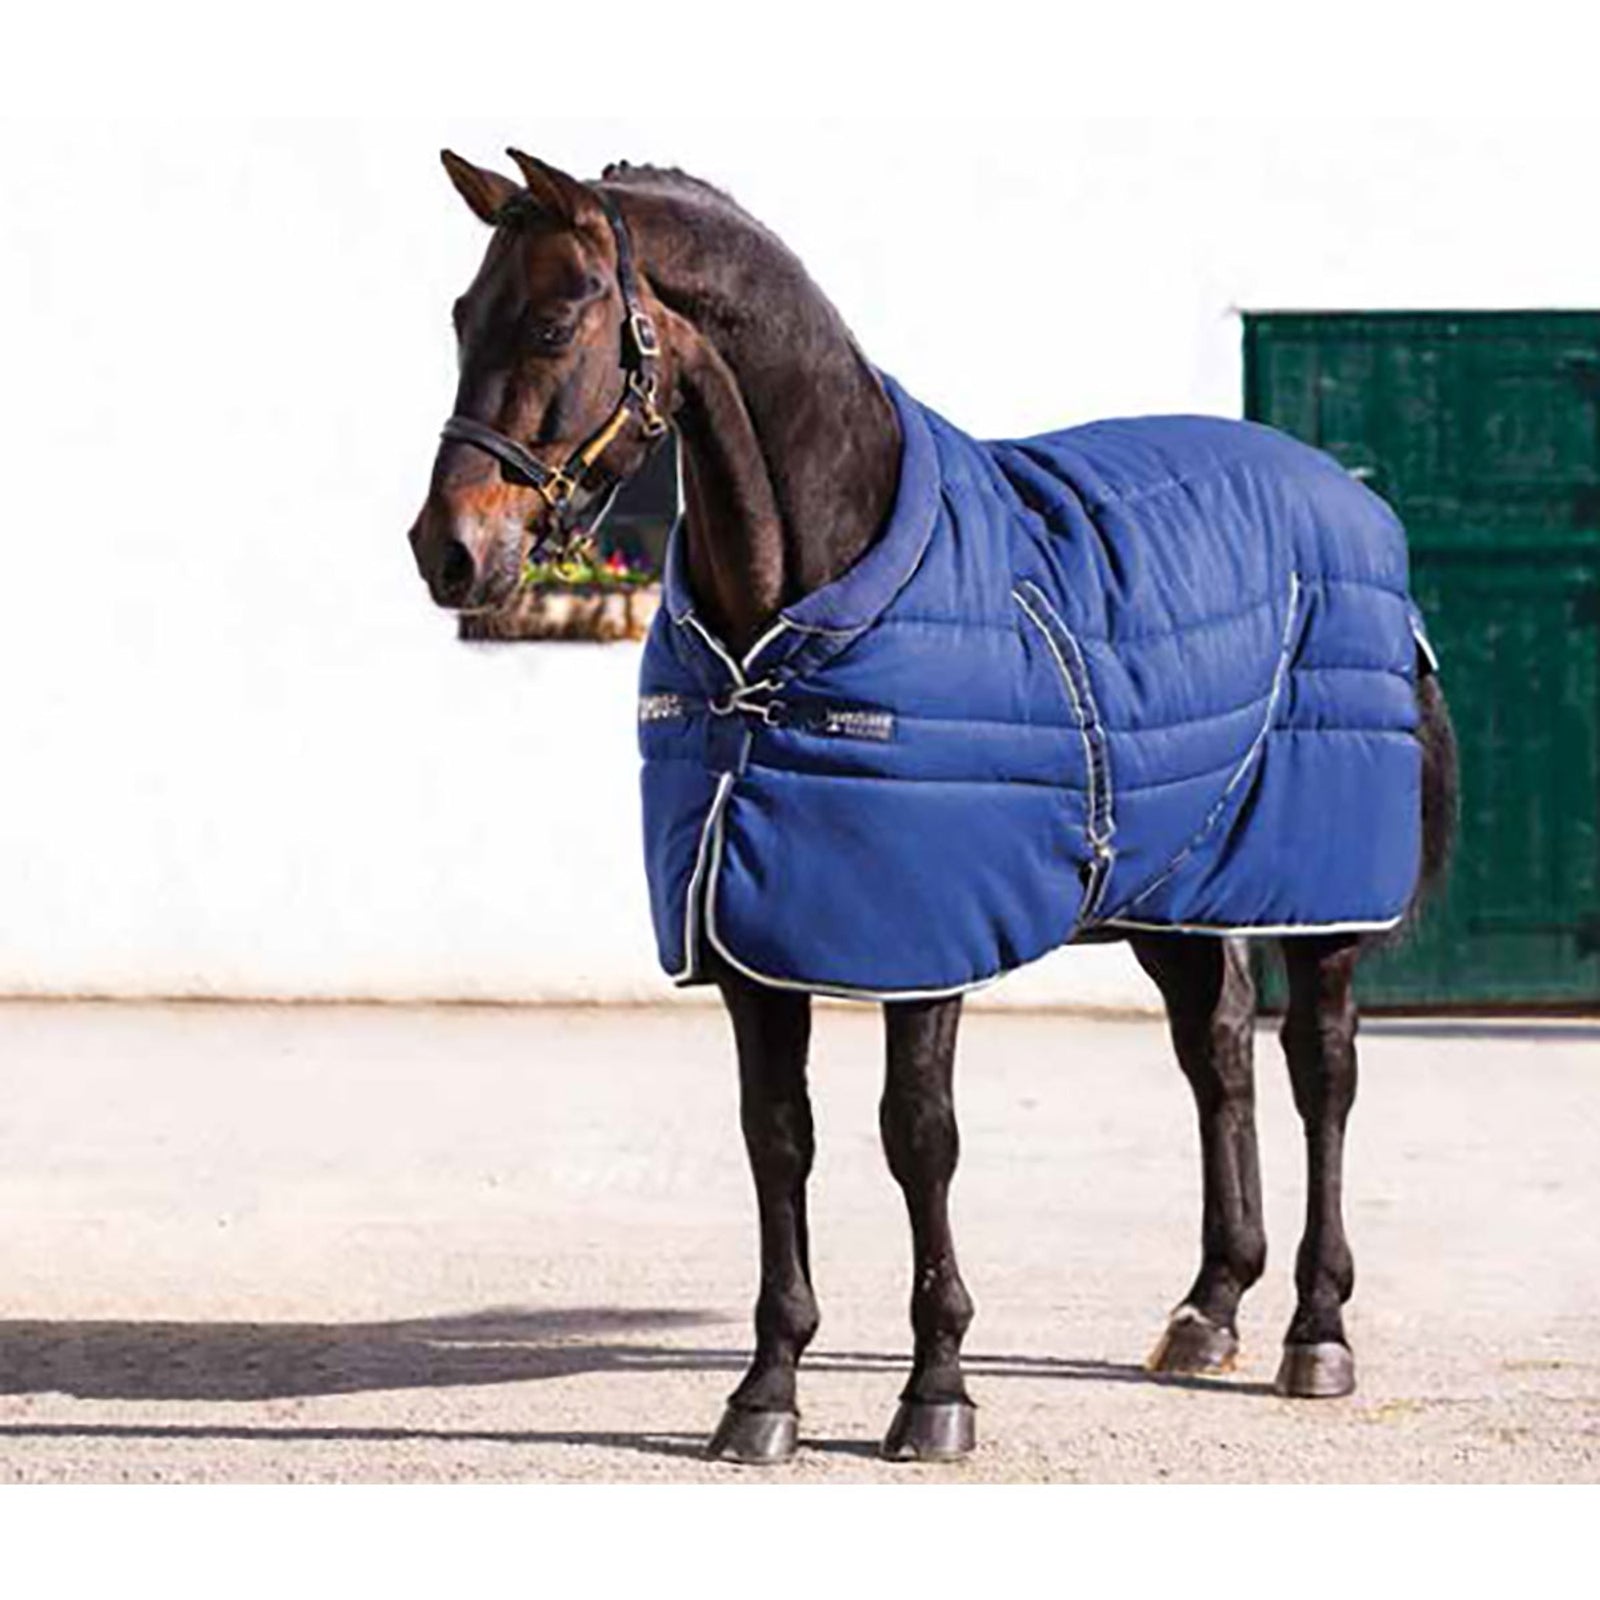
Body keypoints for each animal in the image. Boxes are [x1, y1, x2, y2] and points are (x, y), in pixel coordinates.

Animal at [406, 150, 1458, 1465]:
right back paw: (1208, 1310)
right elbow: (777, 1137)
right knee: (1215, 1053)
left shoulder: (922, 936)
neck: (801, 610)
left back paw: (1315, 1330)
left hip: (1317, 901)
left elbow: (919, 1136)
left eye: (555, 322)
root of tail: (1352, 504)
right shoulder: (749, 935)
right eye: (460, 317)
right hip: (1178, 889)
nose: (448, 552)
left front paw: (936, 1389)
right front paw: (765, 1393)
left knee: (1322, 1072)